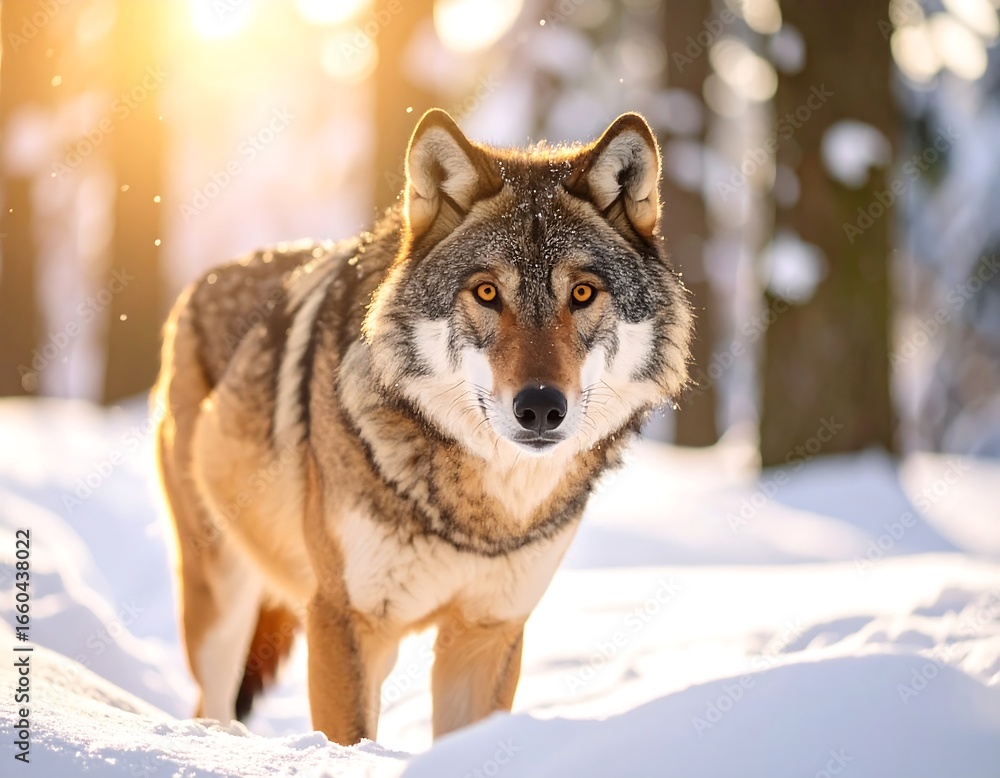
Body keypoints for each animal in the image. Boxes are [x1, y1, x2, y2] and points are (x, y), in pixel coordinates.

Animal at [155, 109, 692, 745]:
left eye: (582, 293)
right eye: (487, 292)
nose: (540, 407)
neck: (483, 513)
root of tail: (201, 282)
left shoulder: (487, 633)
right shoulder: (345, 620)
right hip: (221, 598)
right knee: (208, 701)